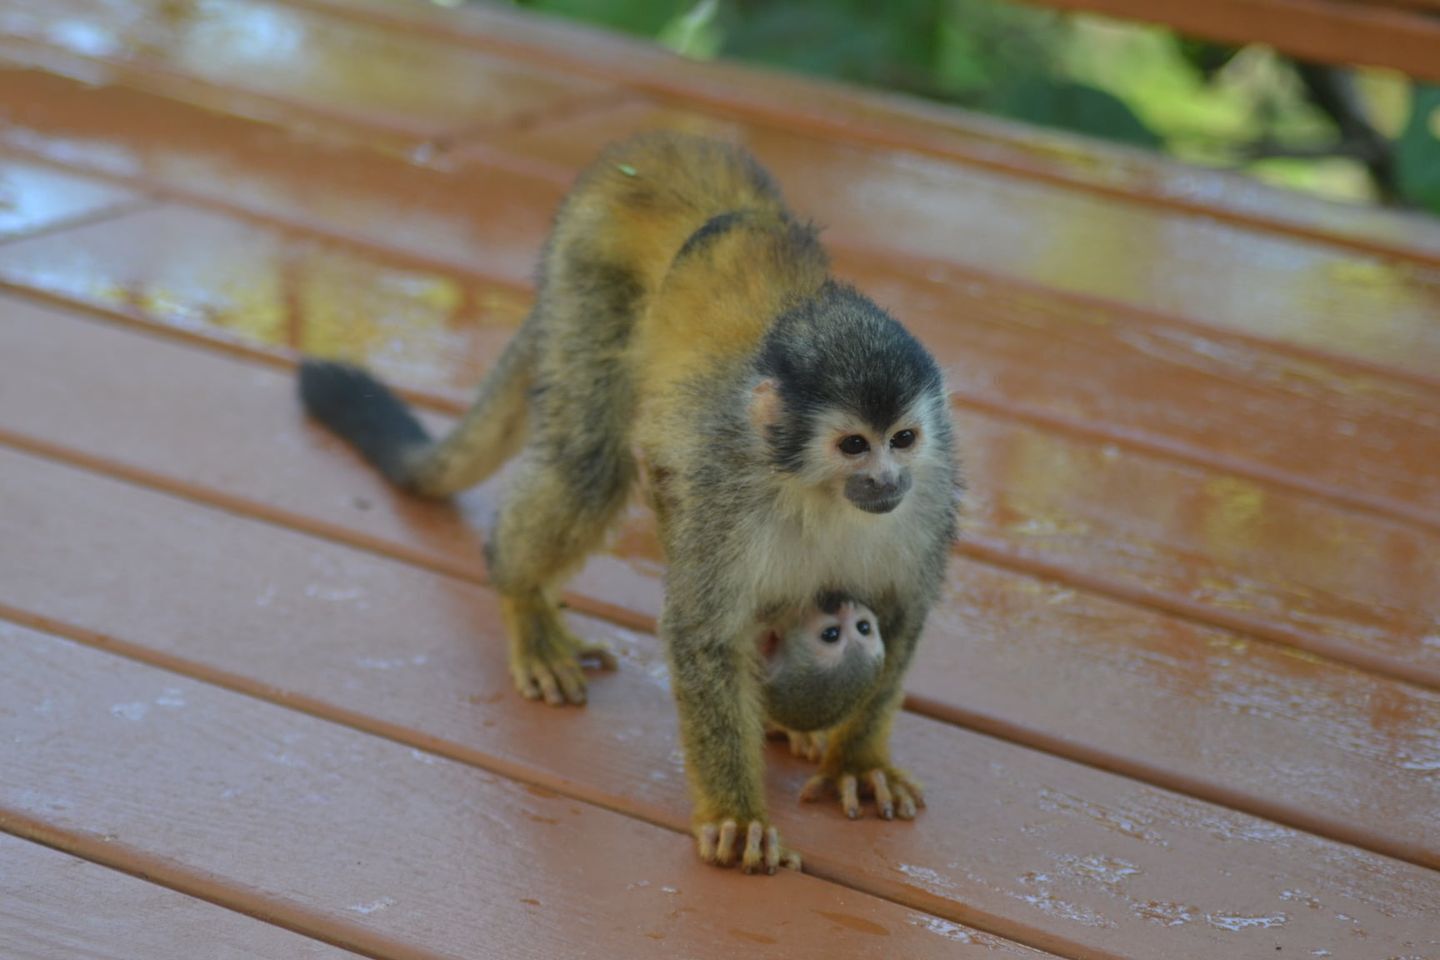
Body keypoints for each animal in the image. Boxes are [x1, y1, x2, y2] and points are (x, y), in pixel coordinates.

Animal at [298, 132, 958, 875]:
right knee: (592, 460)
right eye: (854, 446)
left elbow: (904, 612)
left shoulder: (930, 496)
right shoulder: (729, 498)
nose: (887, 481)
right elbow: (702, 635)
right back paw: (522, 596)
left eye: (903, 439)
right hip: (590, 262)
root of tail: (653, 149)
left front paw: (856, 758)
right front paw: (737, 812)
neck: (822, 496)